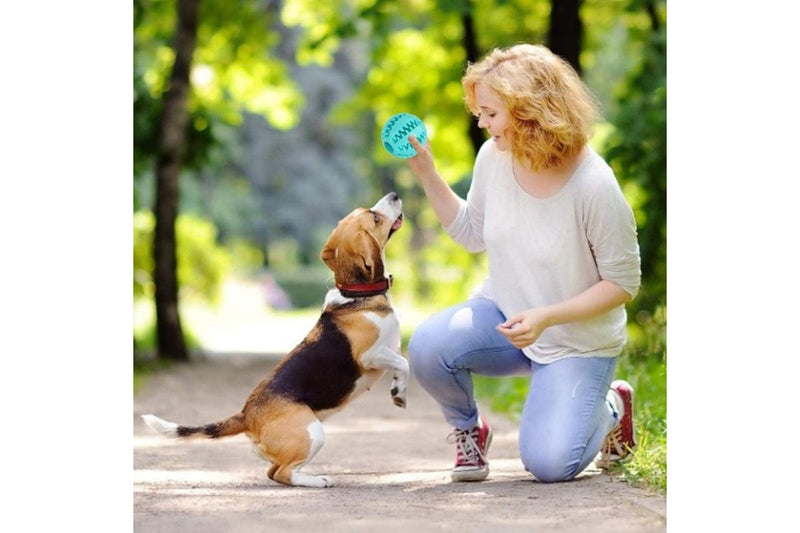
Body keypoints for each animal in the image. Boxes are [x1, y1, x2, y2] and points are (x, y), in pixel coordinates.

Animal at [140, 192, 410, 486]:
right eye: (375, 217)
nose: (395, 195)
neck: (357, 294)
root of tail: (246, 415)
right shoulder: (370, 355)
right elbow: (405, 363)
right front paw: (399, 392)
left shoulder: (390, 350)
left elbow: (401, 364)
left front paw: (398, 391)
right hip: (313, 432)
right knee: (283, 473)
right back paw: (317, 480)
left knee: (274, 472)